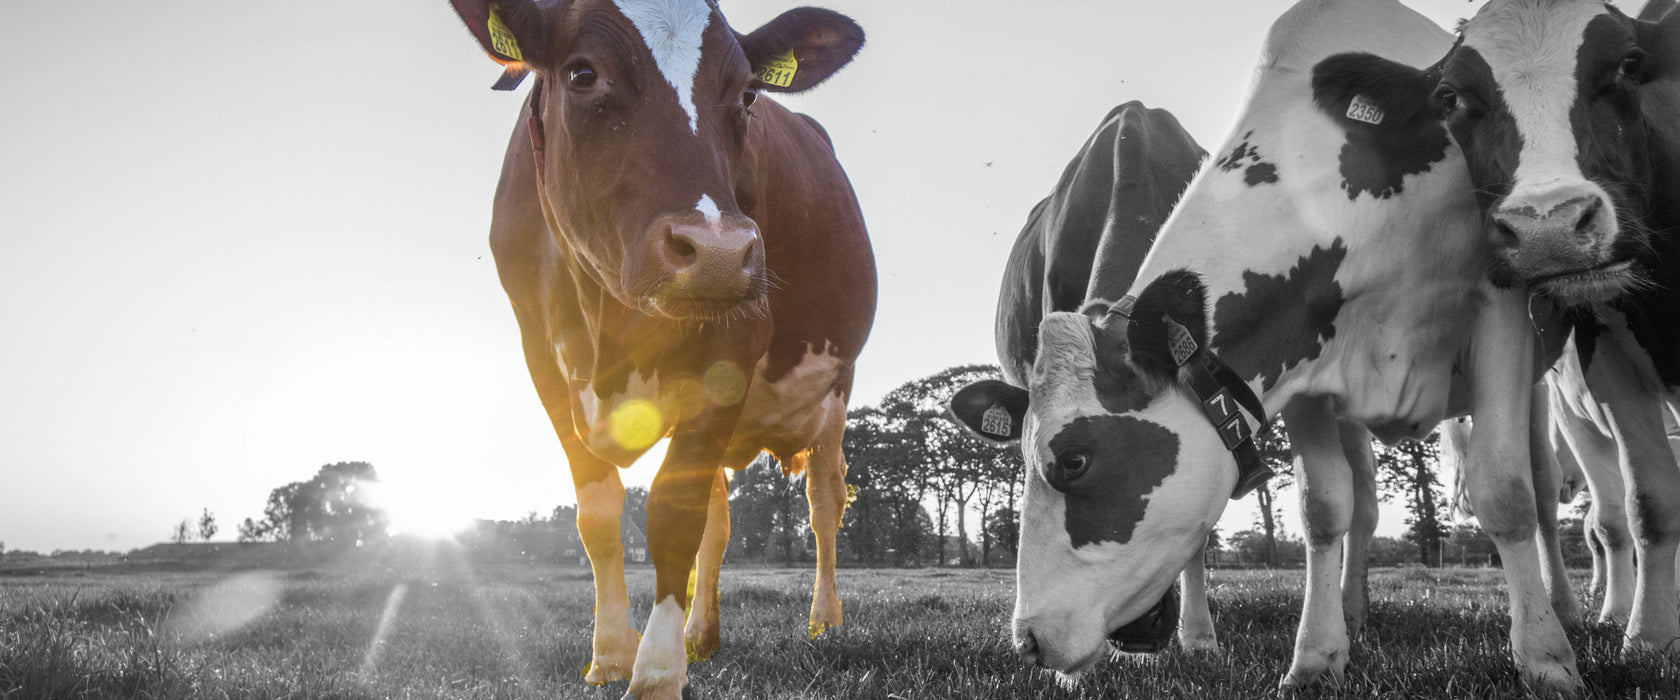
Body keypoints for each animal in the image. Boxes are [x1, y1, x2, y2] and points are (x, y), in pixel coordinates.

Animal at [446, 2, 873, 694]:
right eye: (582, 73)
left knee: (823, 502)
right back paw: (702, 634)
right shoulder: (541, 357)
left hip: (836, 384)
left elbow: (674, 514)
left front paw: (654, 674)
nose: (720, 253)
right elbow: (598, 513)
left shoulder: (733, 344)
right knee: (720, 519)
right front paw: (609, 655)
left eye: (748, 93)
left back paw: (824, 621)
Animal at [954, 0, 1579, 688]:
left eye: (1073, 461)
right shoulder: (1306, 358)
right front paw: (1316, 657)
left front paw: (1546, 659)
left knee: (1542, 485)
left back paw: (1570, 610)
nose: (1028, 640)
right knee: (1364, 500)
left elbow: (1507, 492)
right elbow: (1324, 506)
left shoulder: (1500, 308)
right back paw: (1352, 611)